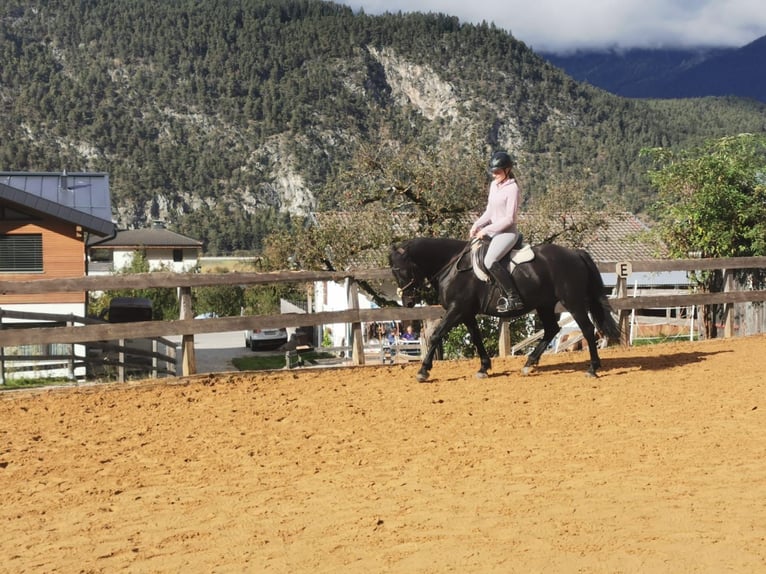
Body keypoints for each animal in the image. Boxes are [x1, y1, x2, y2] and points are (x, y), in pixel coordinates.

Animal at [390, 236, 624, 384]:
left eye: (401, 270)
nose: (407, 301)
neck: (452, 266)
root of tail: (575, 254)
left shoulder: (457, 310)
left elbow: (436, 335)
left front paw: (423, 371)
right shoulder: (467, 313)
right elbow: (476, 339)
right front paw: (484, 368)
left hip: (572, 301)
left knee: (586, 329)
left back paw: (592, 368)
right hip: (545, 304)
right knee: (551, 330)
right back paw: (529, 364)